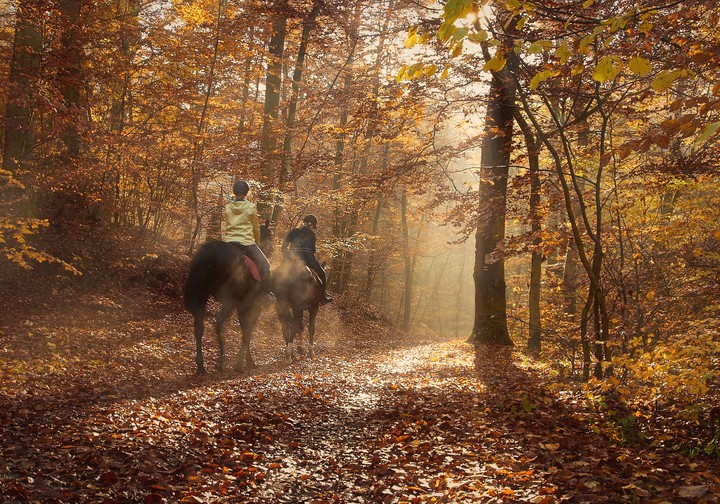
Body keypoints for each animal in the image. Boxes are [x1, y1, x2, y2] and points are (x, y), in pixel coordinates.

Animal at [184, 224, 274, 374]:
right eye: (271, 235)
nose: (272, 249)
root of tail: (212, 251)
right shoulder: (251, 306)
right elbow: (247, 330)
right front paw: (244, 362)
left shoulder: (241, 306)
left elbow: (245, 329)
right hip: (228, 300)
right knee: (218, 324)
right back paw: (221, 360)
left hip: (203, 297)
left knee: (199, 328)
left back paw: (201, 365)